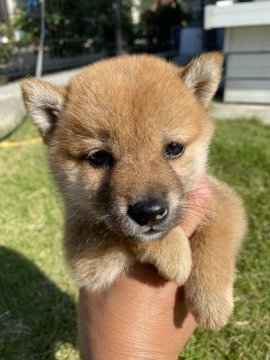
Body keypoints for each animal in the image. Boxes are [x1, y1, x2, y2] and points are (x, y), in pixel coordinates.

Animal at [21, 52, 247, 330]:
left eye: (174, 148)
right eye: (99, 157)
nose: (149, 212)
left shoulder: (223, 198)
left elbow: (215, 238)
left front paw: (212, 302)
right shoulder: (86, 258)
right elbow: (114, 232)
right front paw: (175, 254)